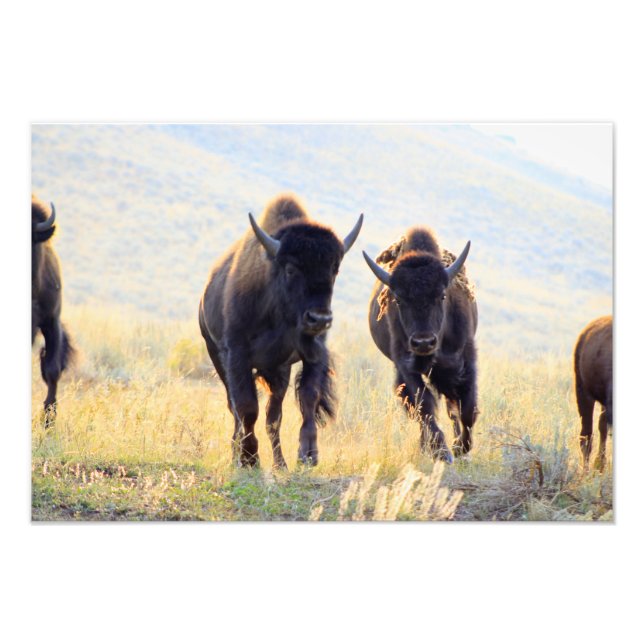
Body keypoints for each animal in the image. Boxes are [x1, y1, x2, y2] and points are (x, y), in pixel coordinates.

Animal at [199, 194, 363, 468]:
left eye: (334, 269)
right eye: (291, 269)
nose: (320, 318)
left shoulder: (311, 354)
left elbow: (307, 398)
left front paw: (308, 455)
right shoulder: (237, 355)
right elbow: (246, 407)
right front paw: (250, 458)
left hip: (280, 371)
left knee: (273, 416)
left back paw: (280, 463)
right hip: (216, 355)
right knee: (236, 410)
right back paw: (237, 455)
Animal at [363, 227, 477, 463]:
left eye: (442, 295)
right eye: (398, 299)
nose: (423, 342)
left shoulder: (466, 361)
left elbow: (467, 409)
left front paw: (461, 448)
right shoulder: (406, 366)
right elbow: (424, 406)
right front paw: (442, 452)